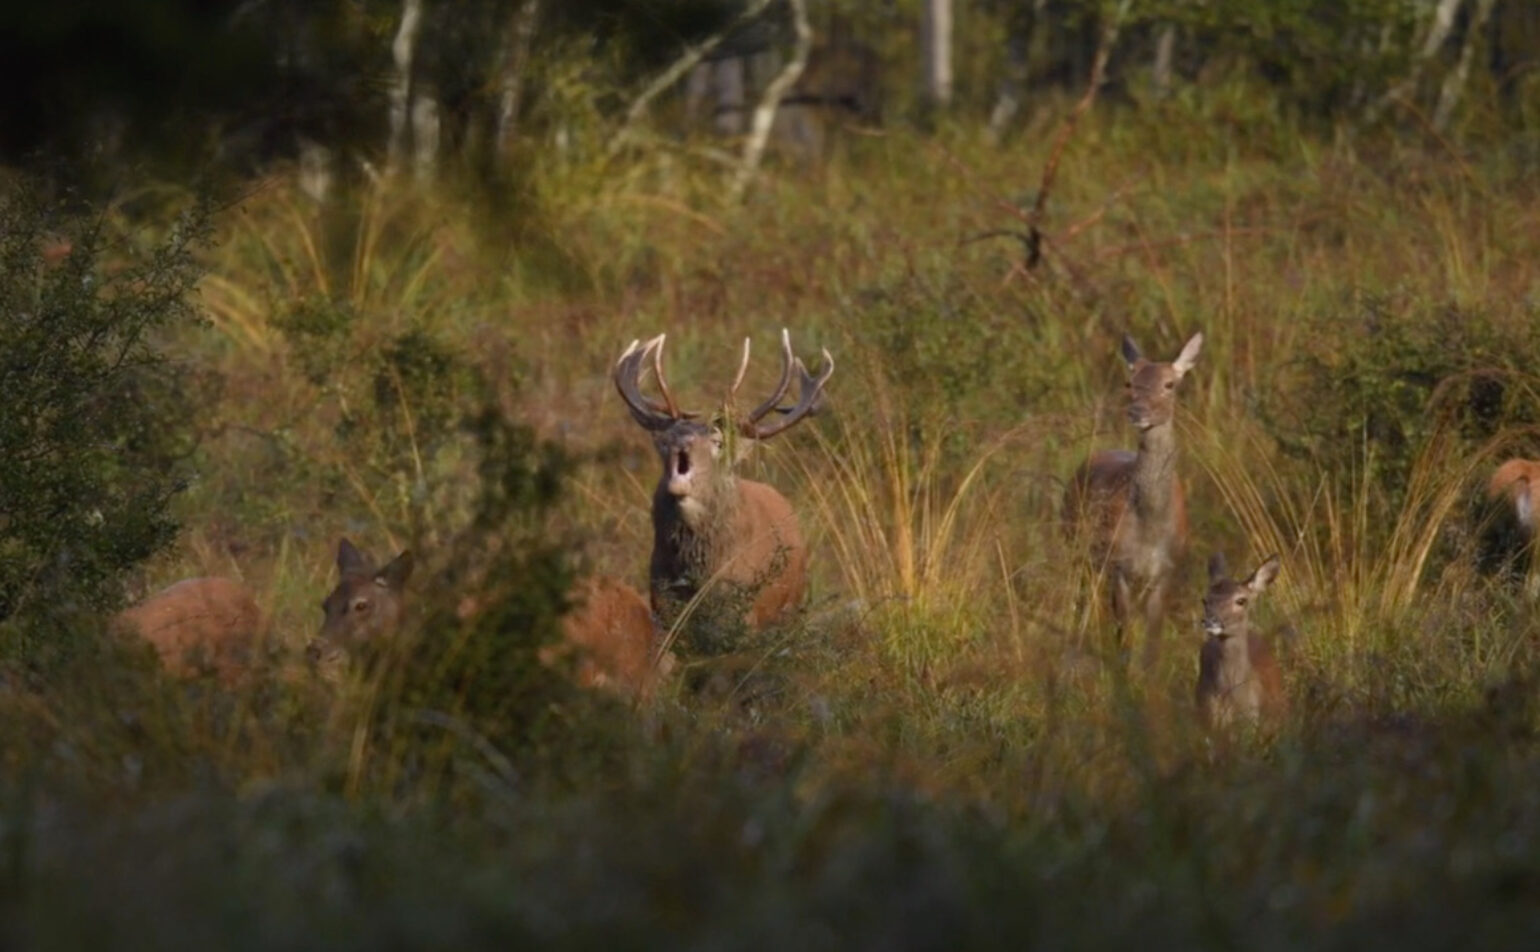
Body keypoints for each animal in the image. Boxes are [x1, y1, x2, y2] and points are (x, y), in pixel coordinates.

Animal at [612, 326, 837, 637]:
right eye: (666, 440)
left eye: (717, 442)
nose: (682, 442)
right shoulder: (662, 603)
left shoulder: (745, 611)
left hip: (791, 605)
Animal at [1065, 331, 1207, 668]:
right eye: (1130, 383)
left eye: (1170, 384)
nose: (1137, 412)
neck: (1149, 526)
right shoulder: (1120, 566)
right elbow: (1125, 636)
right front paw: (1124, 676)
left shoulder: (1167, 569)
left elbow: (1152, 642)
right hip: (1076, 547)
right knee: (1080, 603)